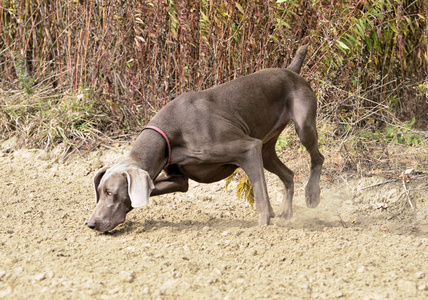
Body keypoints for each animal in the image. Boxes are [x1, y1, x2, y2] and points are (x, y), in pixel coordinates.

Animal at [85, 44, 322, 232]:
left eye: (110, 192)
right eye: (100, 192)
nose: (91, 223)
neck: (169, 134)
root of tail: (290, 71)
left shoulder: (248, 148)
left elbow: (261, 195)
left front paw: (263, 226)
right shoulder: (178, 179)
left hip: (303, 125)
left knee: (317, 157)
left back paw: (312, 195)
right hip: (267, 148)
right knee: (288, 173)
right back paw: (286, 212)